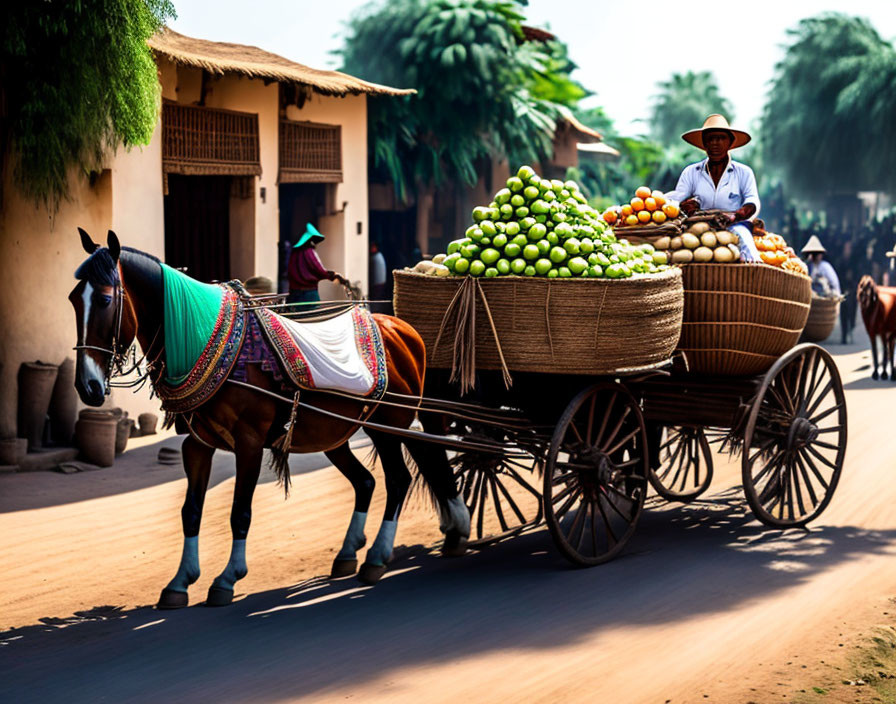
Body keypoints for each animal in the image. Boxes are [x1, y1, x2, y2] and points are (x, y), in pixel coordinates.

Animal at [70, 231, 468, 612]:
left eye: (104, 299)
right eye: (73, 299)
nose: (87, 386)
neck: (211, 344)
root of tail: (403, 328)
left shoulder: (249, 443)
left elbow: (239, 513)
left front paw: (227, 578)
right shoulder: (196, 445)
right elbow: (191, 511)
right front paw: (180, 582)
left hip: (385, 426)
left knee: (399, 479)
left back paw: (378, 556)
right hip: (338, 434)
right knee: (370, 480)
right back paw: (360, 550)